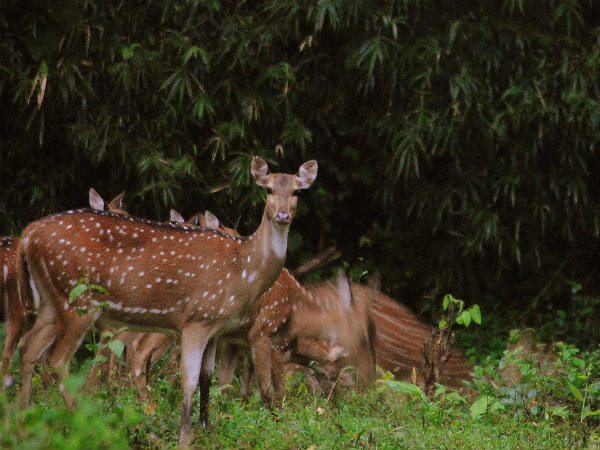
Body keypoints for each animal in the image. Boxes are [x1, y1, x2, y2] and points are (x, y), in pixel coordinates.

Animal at [17, 157, 318, 442]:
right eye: (267, 189)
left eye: (297, 191)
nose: (282, 215)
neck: (244, 271)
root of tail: (27, 235)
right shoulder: (197, 318)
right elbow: (190, 379)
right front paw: (185, 434)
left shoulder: (215, 326)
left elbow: (208, 377)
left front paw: (206, 428)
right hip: (78, 299)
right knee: (56, 358)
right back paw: (86, 422)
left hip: (50, 300)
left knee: (28, 347)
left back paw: (24, 417)